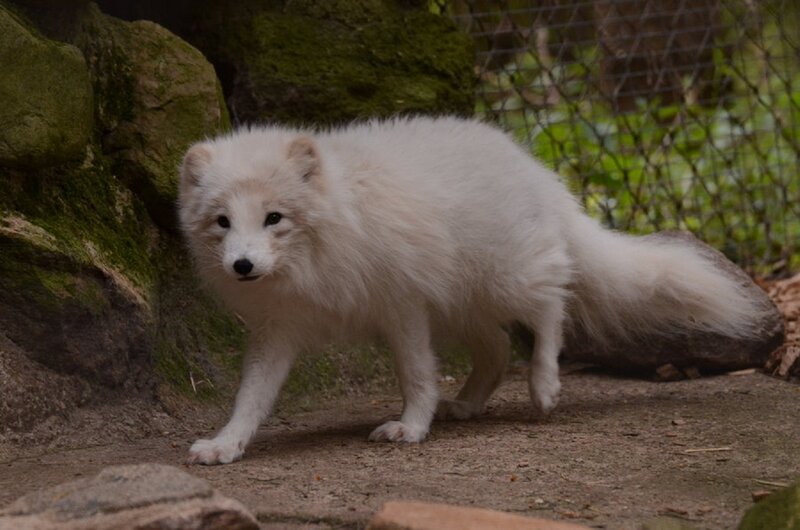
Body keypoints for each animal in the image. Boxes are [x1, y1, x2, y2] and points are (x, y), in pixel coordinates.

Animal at [178, 116, 763, 465]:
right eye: (223, 222)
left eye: (274, 217)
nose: (242, 266)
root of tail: (535, 169)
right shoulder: (278, 329)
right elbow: (251, 395)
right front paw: (227, 444)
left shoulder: (401, 304)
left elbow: (416, 375)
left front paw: (412, 427)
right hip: (463, 307)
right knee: (500, 348)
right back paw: (471, 402)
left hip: (505, 280)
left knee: (553, 303)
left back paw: (544, 385)